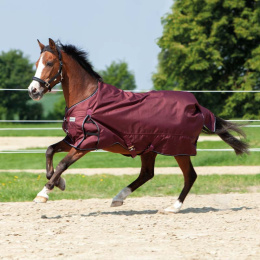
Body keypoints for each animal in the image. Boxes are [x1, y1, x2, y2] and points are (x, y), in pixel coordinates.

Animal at [27, 38, 249, 213]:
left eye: (49, 62)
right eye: (37, 63)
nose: (33, 90)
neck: (87, 98)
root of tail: (197, 106)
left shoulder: (87, 142)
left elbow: (63, 164)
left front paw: (43, 193)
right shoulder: (74, 139)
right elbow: (49, 150)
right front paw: (59, 182)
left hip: (178, 149)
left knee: (190, 176)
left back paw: (172, 207)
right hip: (149, 149)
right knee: (147, 174)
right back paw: (119, 198)